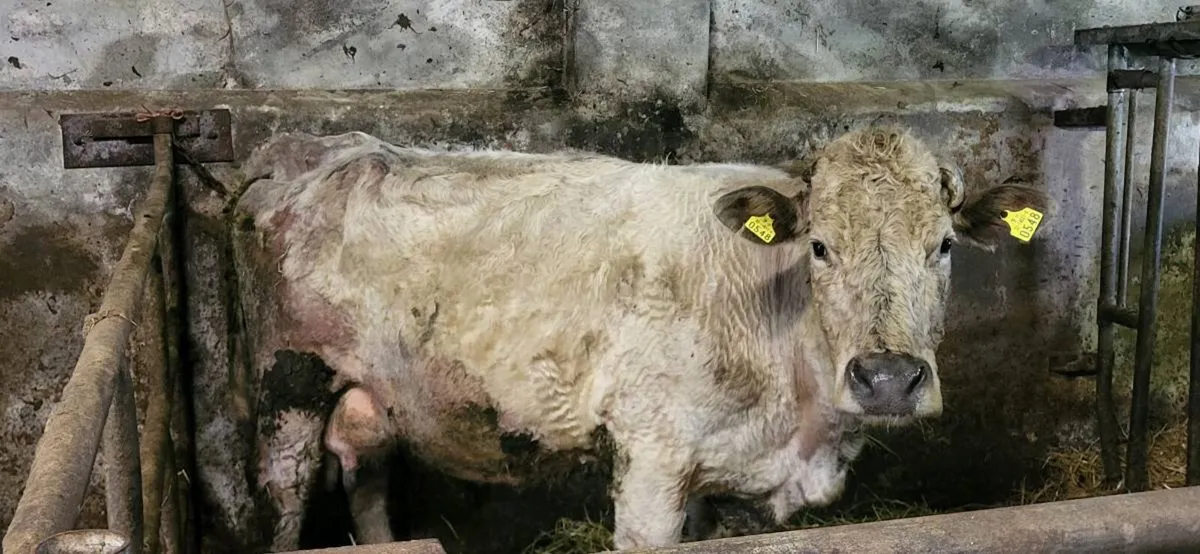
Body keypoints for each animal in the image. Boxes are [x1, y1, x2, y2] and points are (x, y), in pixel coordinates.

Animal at [230, 125, 1050, 551]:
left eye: (944, 245)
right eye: (820, 246)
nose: (886, 377)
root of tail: (316, 148)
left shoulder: (733, 480)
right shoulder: (651, 456)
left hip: (372, 396)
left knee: (368, 486)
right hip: (286, 387)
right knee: (286, 495)